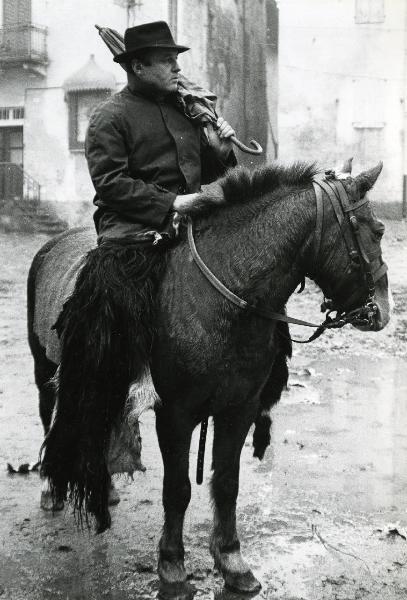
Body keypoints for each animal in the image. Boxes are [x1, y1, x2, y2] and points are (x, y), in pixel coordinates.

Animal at [27, 161, 390, 596]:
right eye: (378, 230)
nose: (383, 310)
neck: (226, 298)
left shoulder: (239, 408)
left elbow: (227, 482)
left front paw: (232, 561)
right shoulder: (176, 414)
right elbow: (178, 489)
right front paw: (172, 568)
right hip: (48, 371)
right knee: (52, 419)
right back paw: (51, 488)